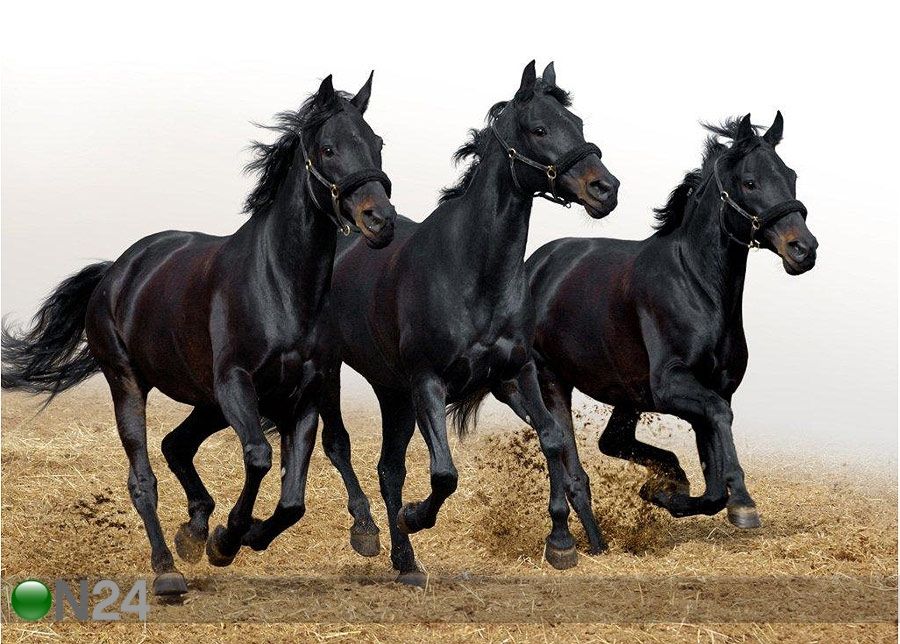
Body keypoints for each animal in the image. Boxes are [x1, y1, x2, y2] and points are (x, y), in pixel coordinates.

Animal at [1, 73, 398, 596]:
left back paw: (192, 531)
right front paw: (227, 539)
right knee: (143, 478)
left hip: (206, 401)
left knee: (176, 444)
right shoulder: (235, 384)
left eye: (377, 143)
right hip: (130, 385)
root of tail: (117, 272)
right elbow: (259, 456)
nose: (381, 221)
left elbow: (293, 498)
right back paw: (168, 568)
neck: (280, 286)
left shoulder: (305, 394)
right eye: (328, 148)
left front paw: (240, 535)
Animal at [315, 61, 619, 585]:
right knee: (340, 446)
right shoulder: (428, 384)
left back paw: (406, 563)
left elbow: (553, 439)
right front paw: (415, 516)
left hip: (393, 391)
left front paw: (561, 542)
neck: (473, 273)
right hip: (336, 371)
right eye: (539, 129)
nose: (606, 189)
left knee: (389, 470)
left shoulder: (516, 373)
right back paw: (369, 532)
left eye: (577, 124)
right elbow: (444, 473)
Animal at [501, 112, 818, 555]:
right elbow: (720, 431)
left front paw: (665, 493)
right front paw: (742, 503)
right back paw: (587, 545)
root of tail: (534, 267)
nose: (804, 249)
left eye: (790, 176)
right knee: (570, 464)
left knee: (611, 442)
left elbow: (712, 482)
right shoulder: (672, 386)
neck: (696, 286)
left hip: (626, 394)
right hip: (552, 380)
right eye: (750, 182)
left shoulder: (713, 390)